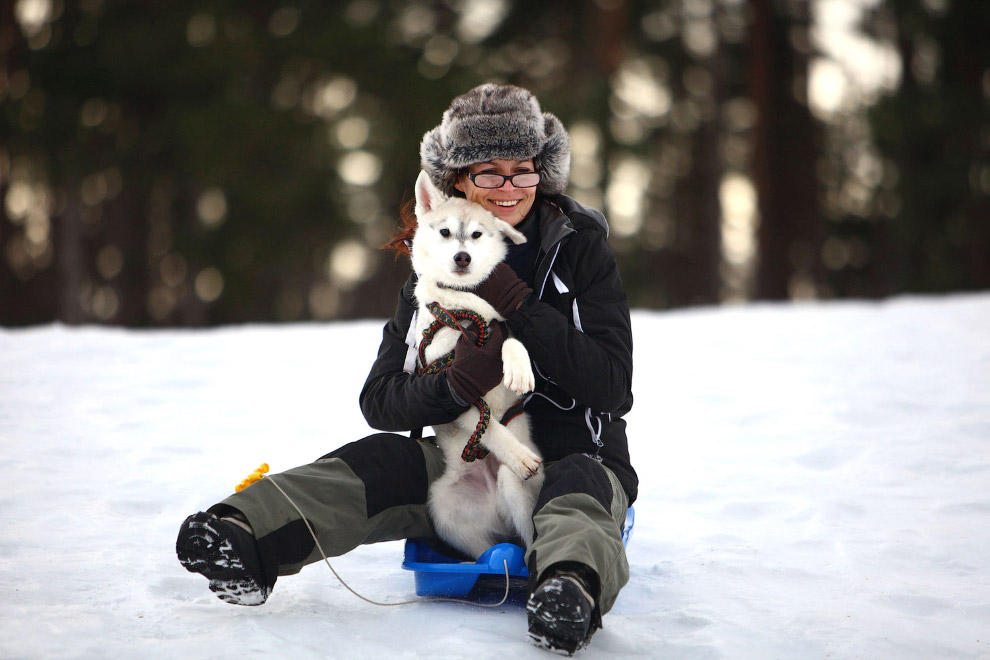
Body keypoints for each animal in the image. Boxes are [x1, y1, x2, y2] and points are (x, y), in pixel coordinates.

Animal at [412, 171, 552, 564]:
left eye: (476, 235)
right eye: (445, 232)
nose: (463, 257)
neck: (465, 305)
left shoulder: (501, 325)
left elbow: (509, 341)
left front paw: (518, 370)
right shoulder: (448, 383)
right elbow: (485, 424)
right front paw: (518, 454)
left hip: (513, 489)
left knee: (526, 540)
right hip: (444, 507)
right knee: (484, 548)